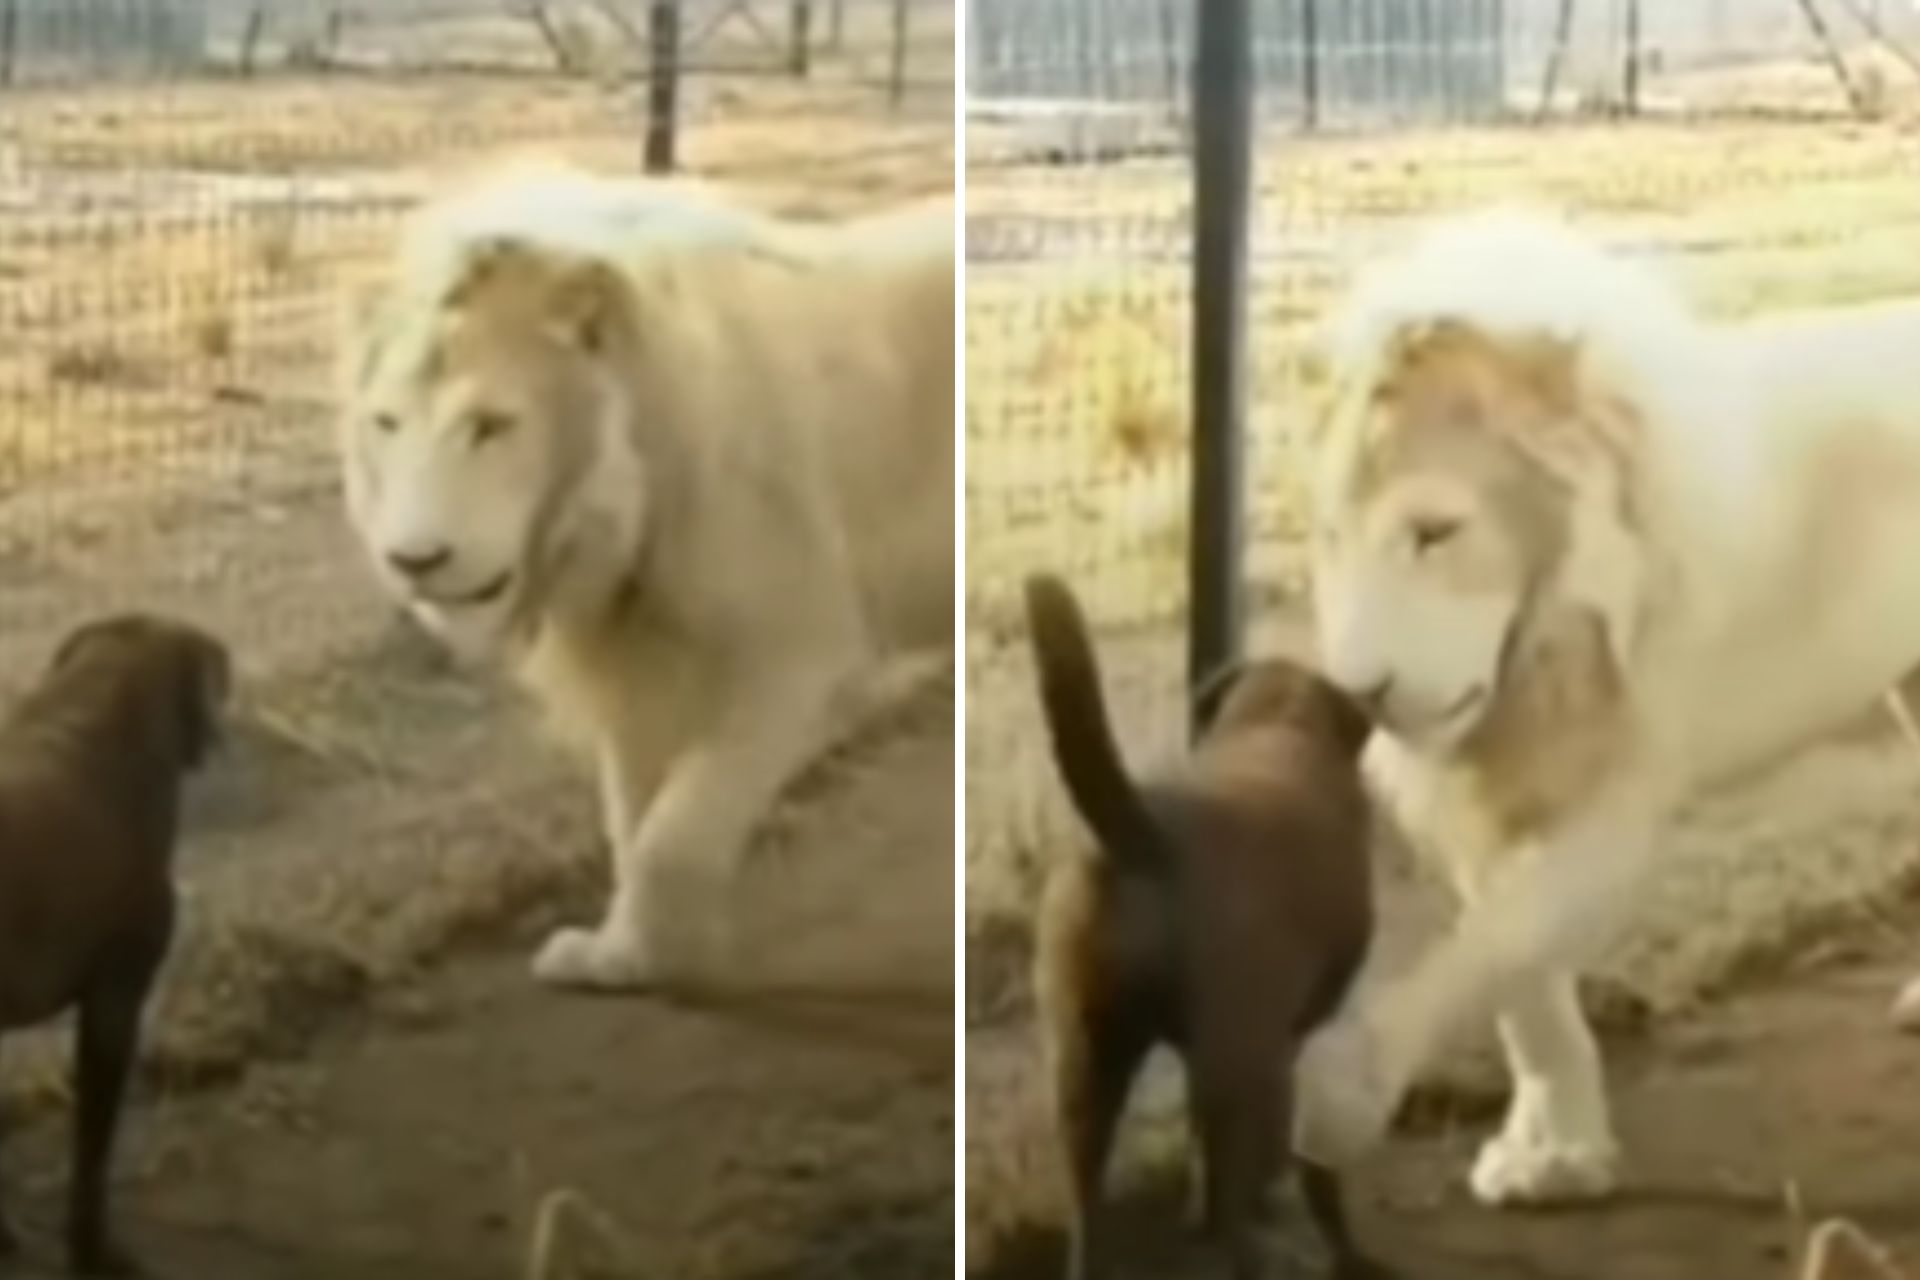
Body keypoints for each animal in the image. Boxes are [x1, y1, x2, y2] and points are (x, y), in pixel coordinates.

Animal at [341, 167, 956, 990]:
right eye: (385, 423)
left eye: (493, 426)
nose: (414, 560)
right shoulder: (638, 656)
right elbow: (631, 819)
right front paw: (623, 955)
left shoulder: (796, 650)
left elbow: (676, 834)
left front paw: (674, 951)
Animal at [1029, 575, 1390, 1280]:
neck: (1278, 721)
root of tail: (1148, 839)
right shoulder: (1290, 1038)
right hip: (1239, 1058)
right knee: (1231, 1202)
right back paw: (1268, 1249)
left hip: (1083, 1059)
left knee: (1088, 1207)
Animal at [1297, 205, 1920, 1205]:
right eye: (1331, 538)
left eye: (1435, 533)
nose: (1360, 692)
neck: (1542, 650)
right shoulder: (1492, 792)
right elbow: (1522, 987)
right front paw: (1554, 1155)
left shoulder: (1618, 793)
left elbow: (1491, 943)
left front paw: (1343, 1088)